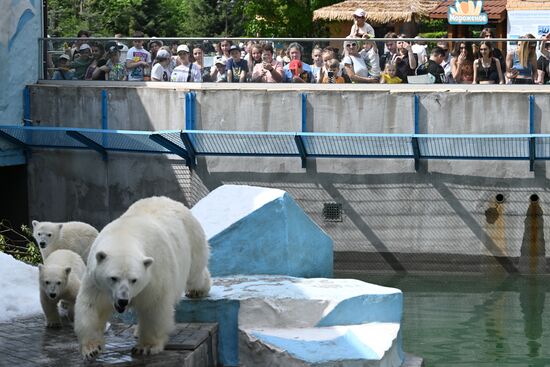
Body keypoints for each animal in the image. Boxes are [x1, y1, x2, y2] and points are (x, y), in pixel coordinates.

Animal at [74, 197, 211, 360]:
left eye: (134, 280)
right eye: (113, 278)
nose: (123, 300)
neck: (124, 235)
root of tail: (171, 200)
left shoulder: (154, 274)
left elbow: (154, 307)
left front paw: (146, 347)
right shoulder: (96, 282)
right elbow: (92, 306)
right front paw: (92, 349)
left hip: (191, 239)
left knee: (195, 271)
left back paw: (197, 290)